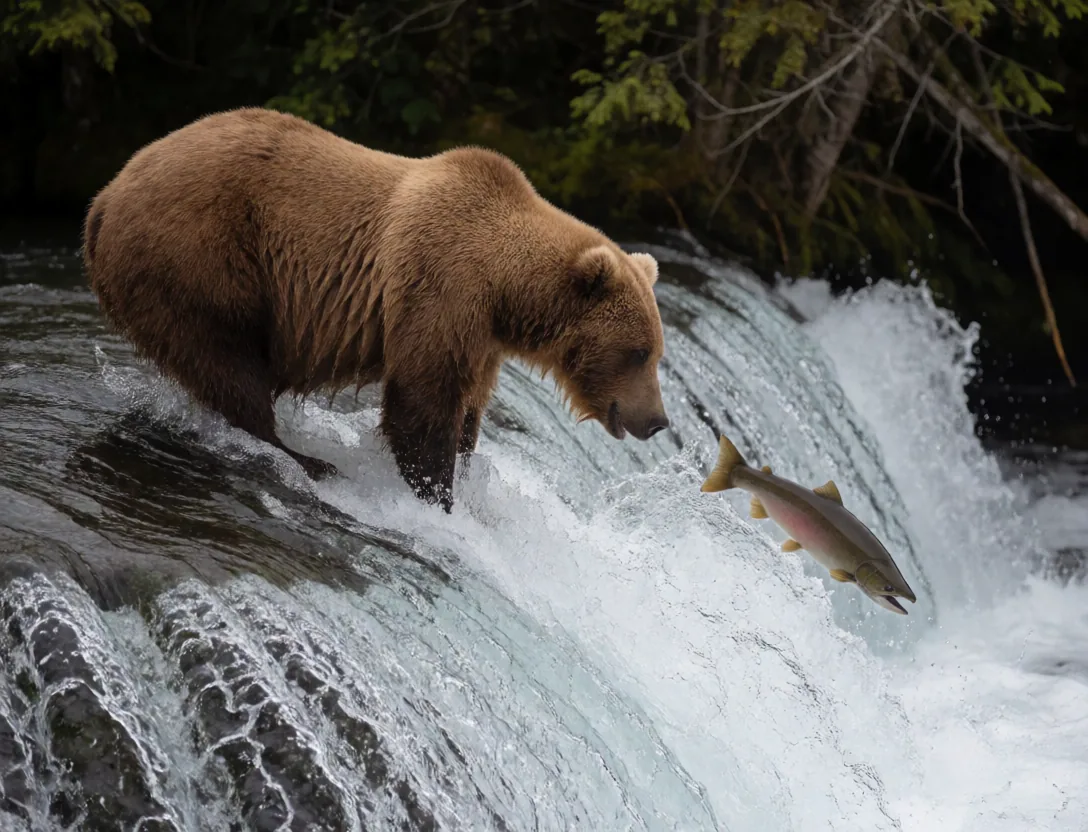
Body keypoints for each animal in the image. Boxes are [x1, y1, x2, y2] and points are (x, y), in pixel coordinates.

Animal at [82, 107, 670, 512]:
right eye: (639, 352)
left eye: (657, 353)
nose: (658, 421)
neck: (505, 290)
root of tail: (104, 197)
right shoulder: (440, 287)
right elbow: (422, 402)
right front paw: (436, 496)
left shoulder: (481, 338)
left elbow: (466, 410)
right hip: (198, 259)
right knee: (225, 362)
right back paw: (305, 459)